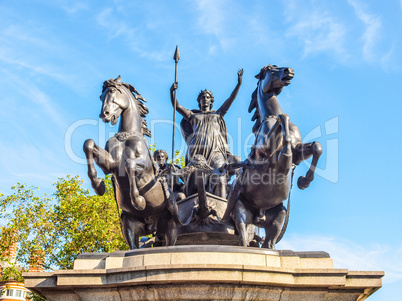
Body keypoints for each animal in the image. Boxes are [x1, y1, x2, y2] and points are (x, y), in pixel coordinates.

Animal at [84, 75, 181, 248]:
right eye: (101, 97)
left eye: (112, 91)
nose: (105, 114)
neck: (126, 135)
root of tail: (153, 226)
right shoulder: (111, 164)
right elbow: (88, 144)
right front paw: (98, 185)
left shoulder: (145, 168)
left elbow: (130, 165)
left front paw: (139, 201)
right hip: (129, 226)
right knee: (133, 246)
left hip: (171, 227)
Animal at [221, 64, 322, 247]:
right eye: (270, 70)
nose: (289, 70)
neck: (271, 116)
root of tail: (258, 216)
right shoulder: (268, 151)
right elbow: (284, 121)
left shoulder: (297, 153)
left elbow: (316, 147)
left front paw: (303, 181)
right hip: (241, 214)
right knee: (244, 240)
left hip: (278, 217)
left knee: (269, 244)